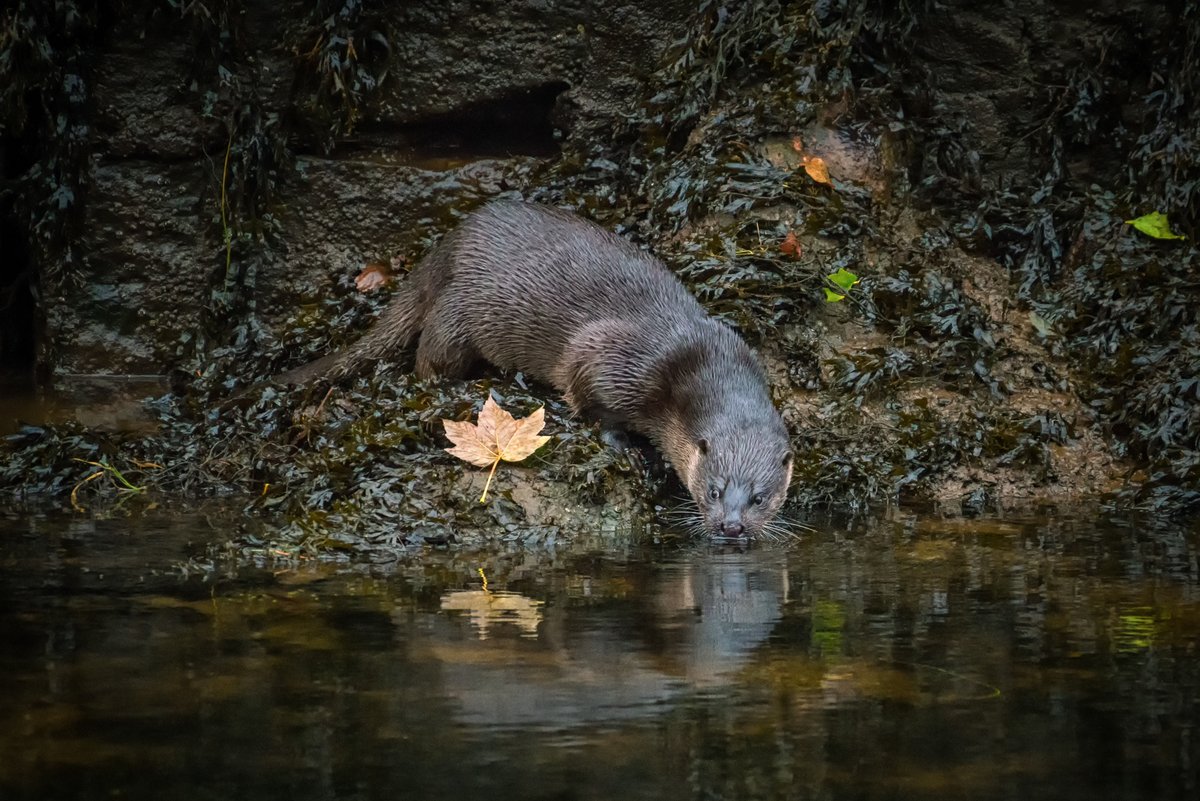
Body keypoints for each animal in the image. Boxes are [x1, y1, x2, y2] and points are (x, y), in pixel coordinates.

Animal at [283, 201, 793, 538]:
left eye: (759, 497)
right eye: (714, 489)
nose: (731, 526)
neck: (698, 364)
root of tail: (447, 247)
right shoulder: (613, 358)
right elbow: (592, 402)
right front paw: (628, 450)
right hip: (459, 316)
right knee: (427, 359)